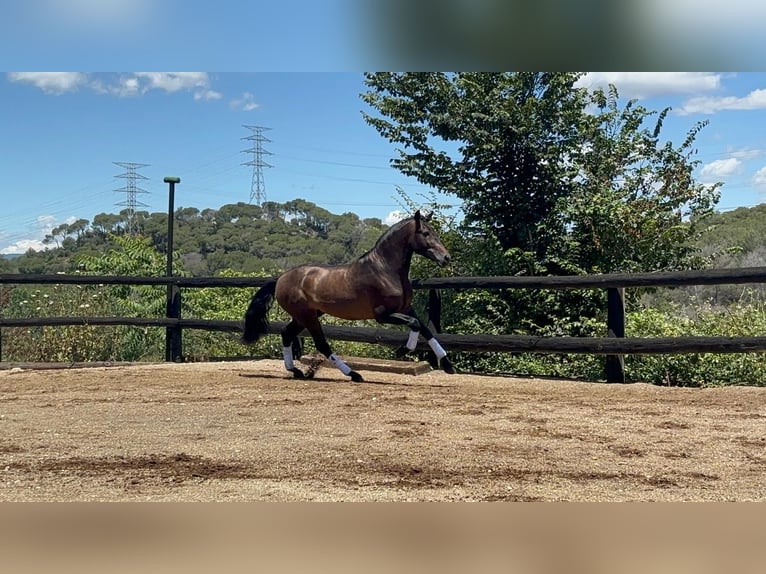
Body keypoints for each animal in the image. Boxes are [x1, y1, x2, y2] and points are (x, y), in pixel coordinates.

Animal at [243, 210, 452, 382]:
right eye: (425, 233)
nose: (446, 258)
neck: (385, 270)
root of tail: (281, 278)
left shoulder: (406, 308)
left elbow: (426, 329)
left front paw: (447, 365)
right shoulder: (382, 314)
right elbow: (415, 325)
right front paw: (402, 351)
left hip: (306, 316)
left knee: (287, 333)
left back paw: (296, 371)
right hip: (308, 317)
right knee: (321, 344)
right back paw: (353, 374)